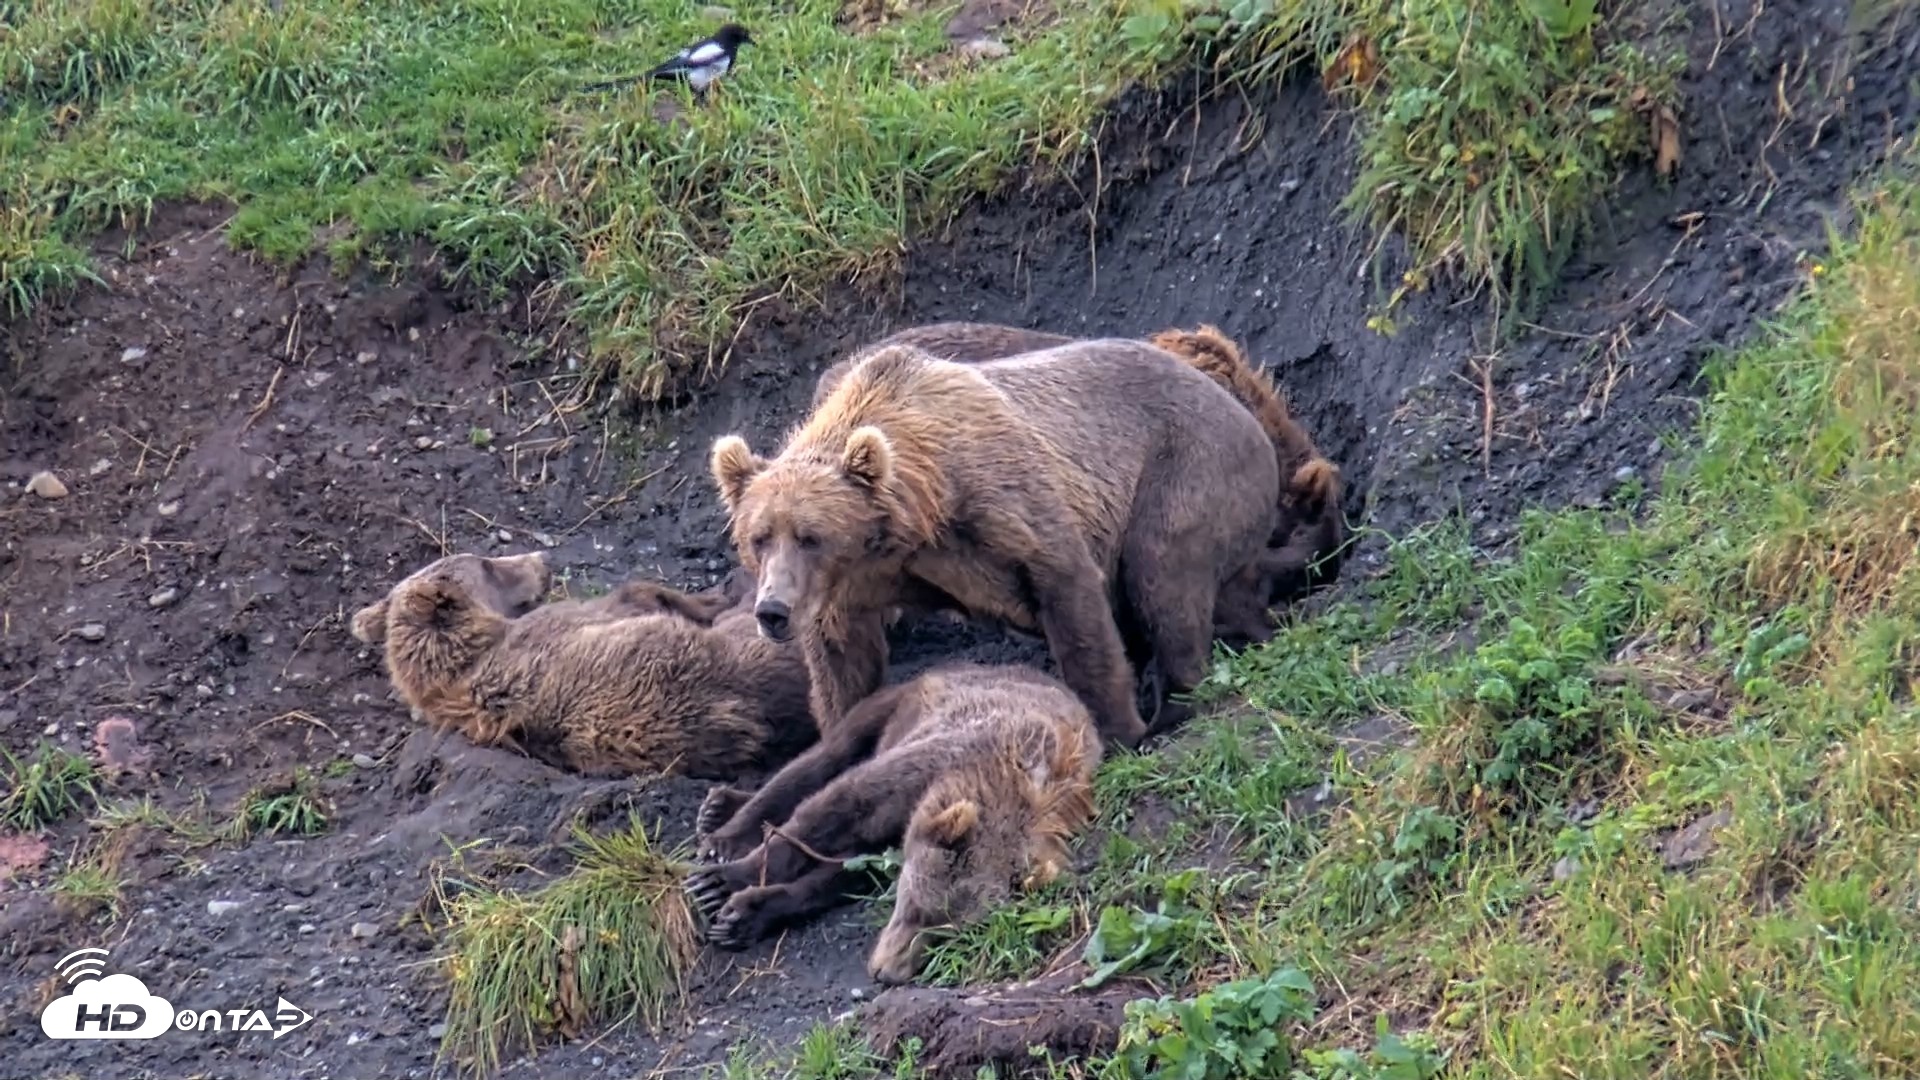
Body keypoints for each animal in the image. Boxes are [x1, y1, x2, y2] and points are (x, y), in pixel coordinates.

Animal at [681, 661, 1101, 986]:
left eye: (947, 935)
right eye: (917, 910)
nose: (888, 973)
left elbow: (844, 872)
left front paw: (746, 915)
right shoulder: (933, 758)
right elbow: (830, 811)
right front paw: (717, 883)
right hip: (905, 701)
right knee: (823, 758)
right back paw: (723, 824)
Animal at [708, 337, 1279, 750]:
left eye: (811, 537)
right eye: (759, 538)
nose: (773, 610)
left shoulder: (1000, 499)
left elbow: (1068, 585)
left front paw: (1118, 729)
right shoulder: (858, 584)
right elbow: (843, 662)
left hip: (1188, 465)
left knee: (1163, 573)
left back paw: (1178, 695)